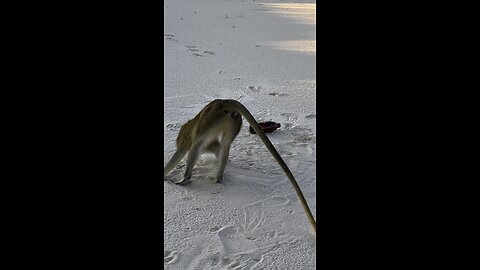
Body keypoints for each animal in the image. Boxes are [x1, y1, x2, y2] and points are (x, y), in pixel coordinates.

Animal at [163, 98, 316, 233]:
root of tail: (224, 101)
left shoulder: (185, 138)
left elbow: (184, 150)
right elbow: (216, 147)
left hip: (212, 119)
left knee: (197, 145)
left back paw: (186, 178)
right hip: (234, 119)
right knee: (224, 146)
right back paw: (218, 176)